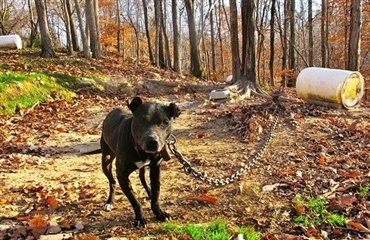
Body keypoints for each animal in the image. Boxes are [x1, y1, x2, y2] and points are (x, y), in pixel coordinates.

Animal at [85, 97, 181, 227]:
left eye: (165, 122)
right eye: (142, 119)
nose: (152, 141)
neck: (140, 150)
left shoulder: (156, 169)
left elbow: (156, 194)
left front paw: (159, 212)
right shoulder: (122, 175)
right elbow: (134, 201)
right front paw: (140, 219)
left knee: (142, 177)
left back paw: (149, 192)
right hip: (106, 161)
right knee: (112, 182)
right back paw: (110, 202)